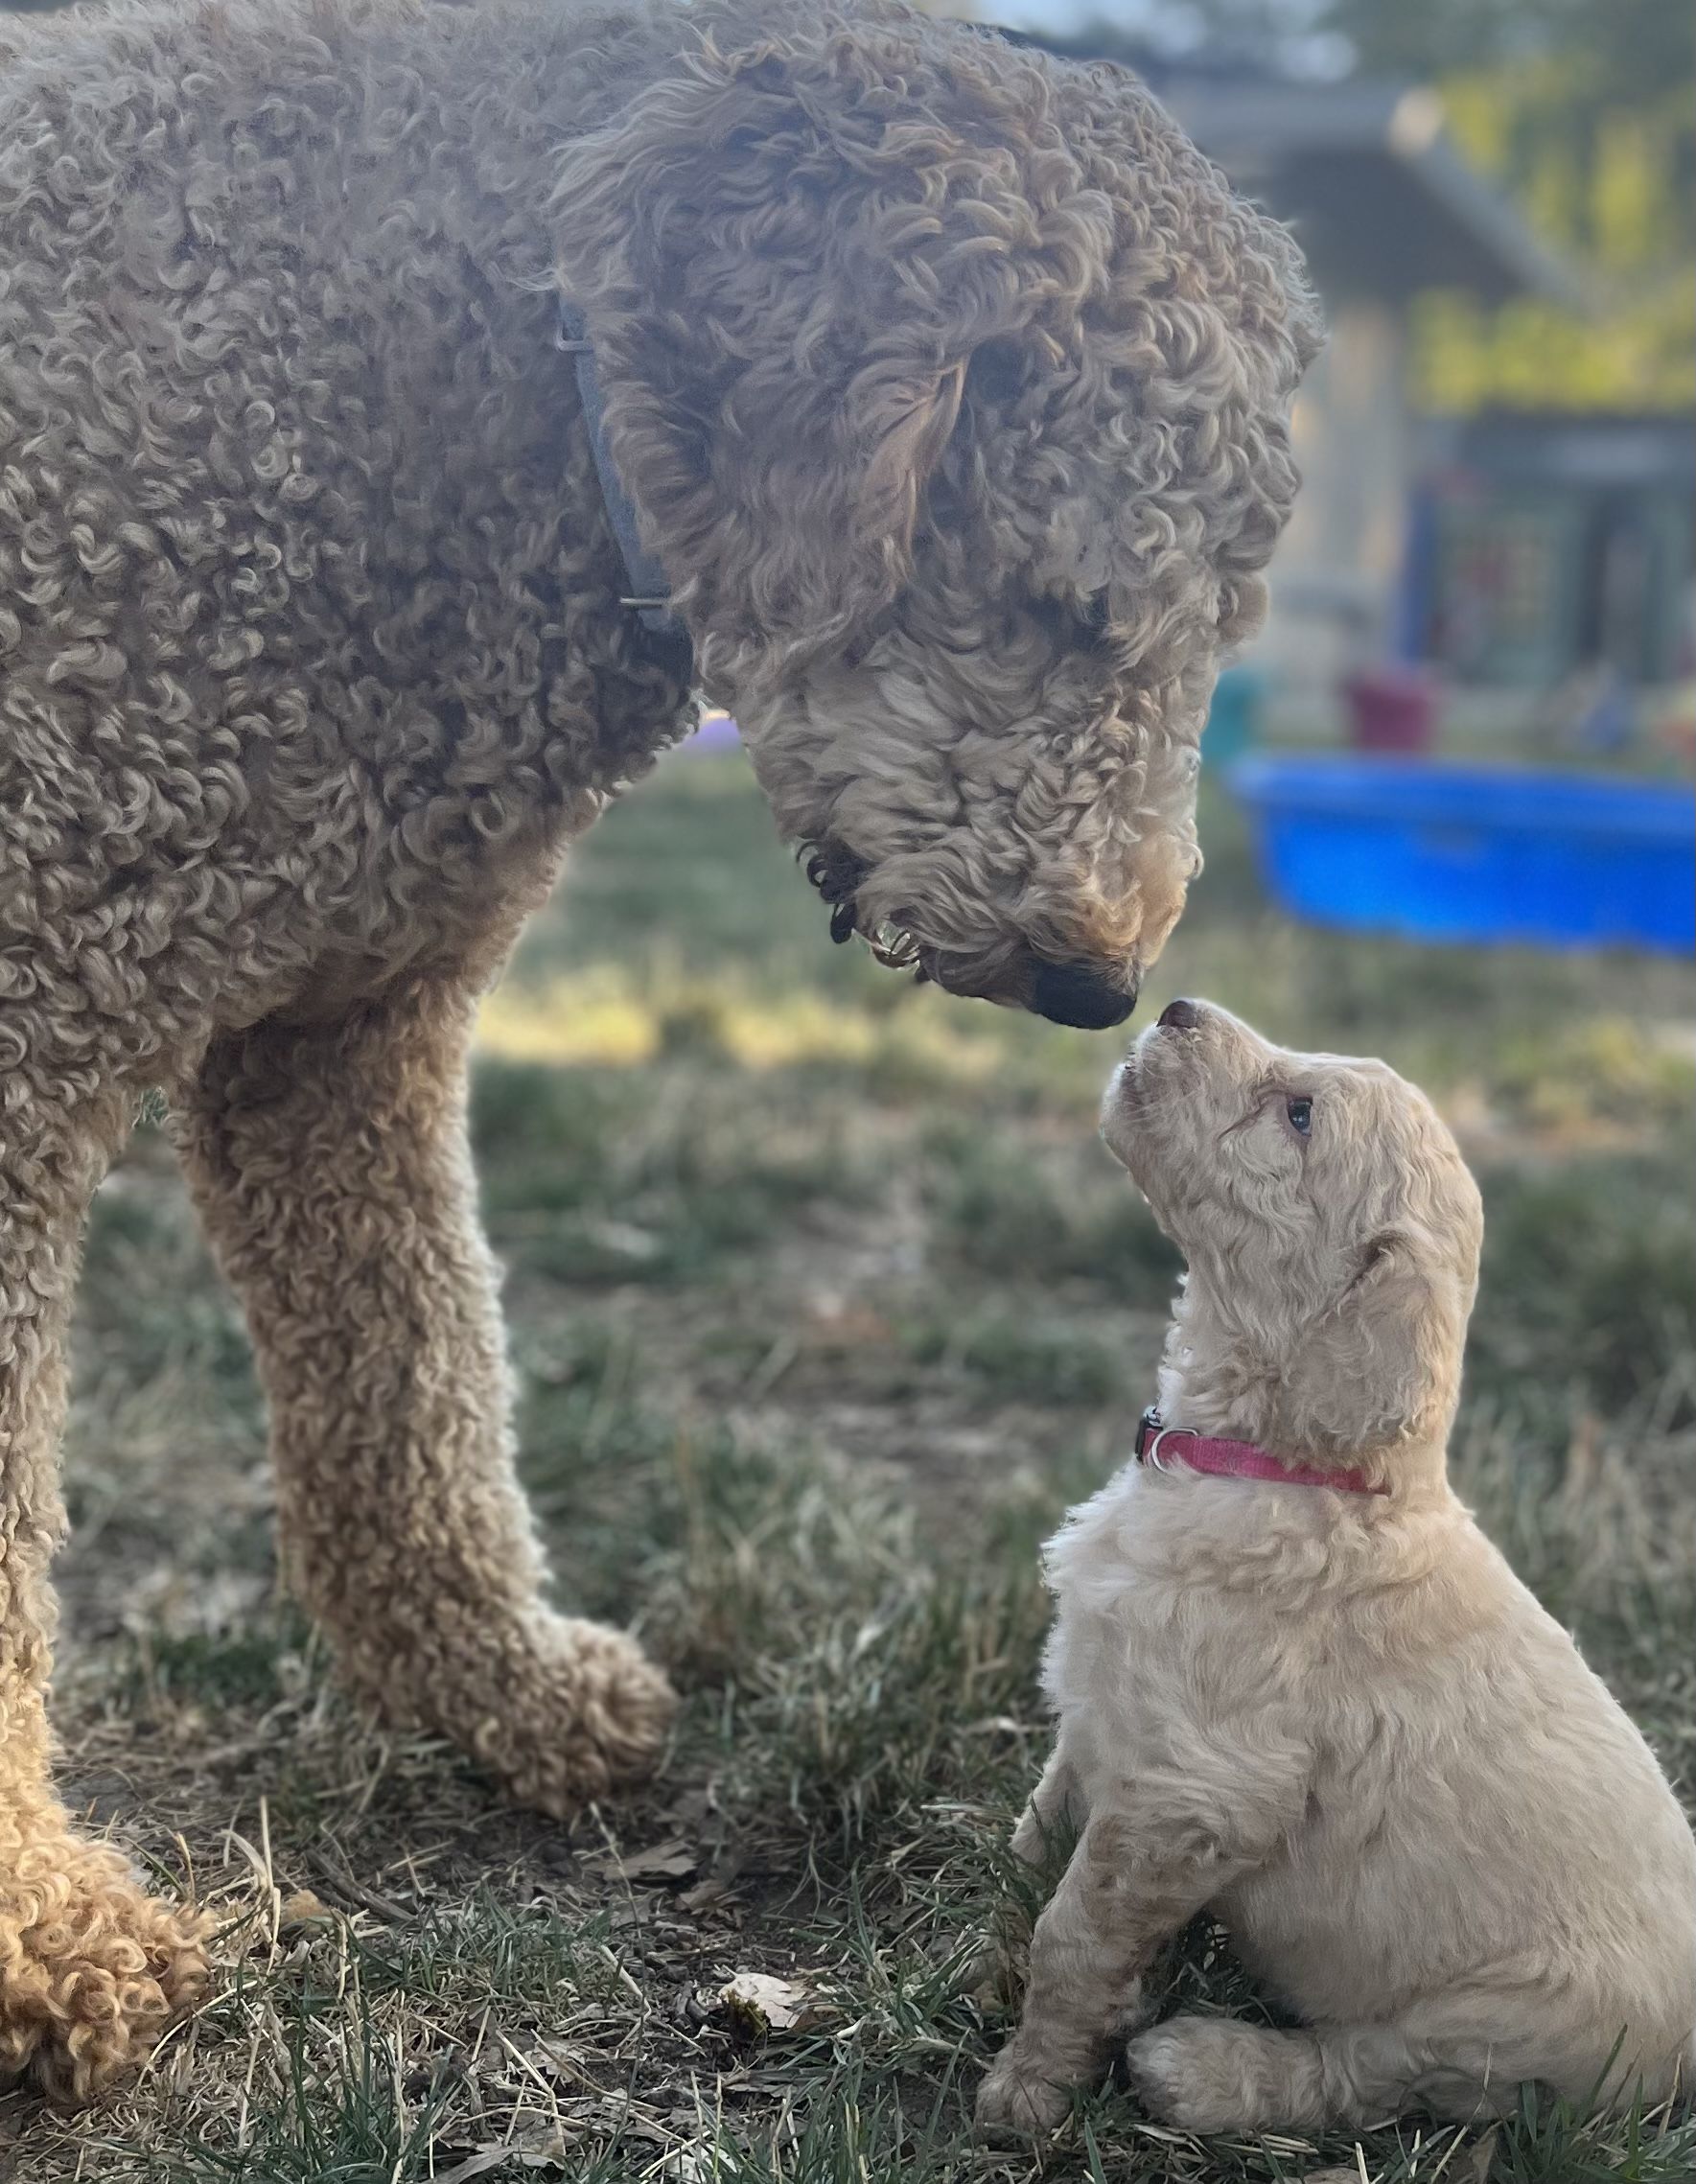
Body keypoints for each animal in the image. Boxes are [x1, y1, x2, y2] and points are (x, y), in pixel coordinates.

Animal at [0, 0, 1317, 2093]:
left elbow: (419, 1390)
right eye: (1060, 600)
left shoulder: (348, 1032)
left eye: (1221, 625)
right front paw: (45, 1933)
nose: (1098, 981)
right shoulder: (25, 1036)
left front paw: (500, 1686)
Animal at [977, 999, 1696, 2135]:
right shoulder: (1110, 1717)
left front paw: (1029, 2086)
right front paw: (984, 1929)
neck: (1287, 1469)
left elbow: (1076, 1930)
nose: (1175, 1007)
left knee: (1364, 2073)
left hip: (1509, 2027)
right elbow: (1045, 1823)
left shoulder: (1192, 1791)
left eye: (1299, 1115)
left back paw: (1202, 2069)